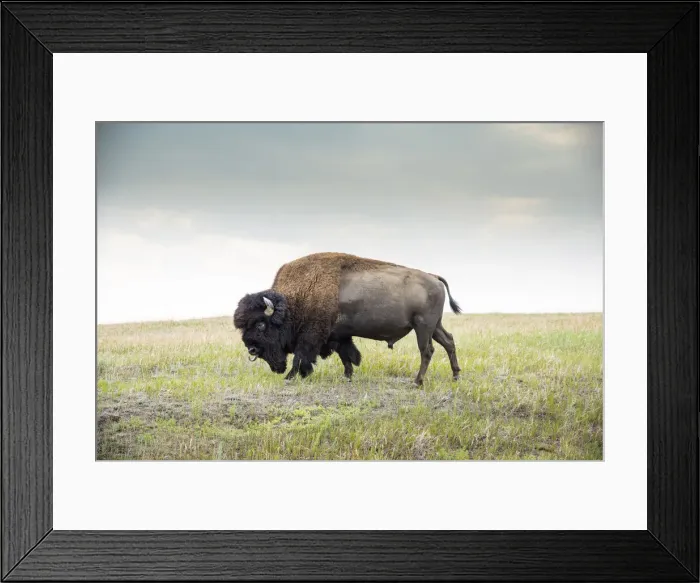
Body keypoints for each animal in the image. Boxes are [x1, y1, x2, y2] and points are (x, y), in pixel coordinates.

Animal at [233, 252, 462, 386]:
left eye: (260, 324)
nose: (251, 349)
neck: (295, 300)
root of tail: (434, 277)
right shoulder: (339, 336)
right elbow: (346, 355)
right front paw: (348, 376)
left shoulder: (311, 336)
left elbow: (300, 357)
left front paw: (290, 377)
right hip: (434, 326)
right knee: (449, 341)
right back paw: (456, 376)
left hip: (422, 326)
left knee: (427, 350)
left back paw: (418, 381)